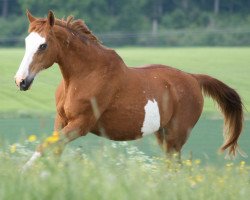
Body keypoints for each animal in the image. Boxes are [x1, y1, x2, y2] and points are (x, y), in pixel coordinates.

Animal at [15, 10, 244, 170]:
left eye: (43, 45)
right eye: (26, 42)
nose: (20, 81)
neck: (84, 75)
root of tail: (194, 78)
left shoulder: (80, 124)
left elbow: (43, 147)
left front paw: (23, 173)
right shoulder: (61, 121)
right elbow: (52, 150)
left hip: (176, 137)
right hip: (163, 135)